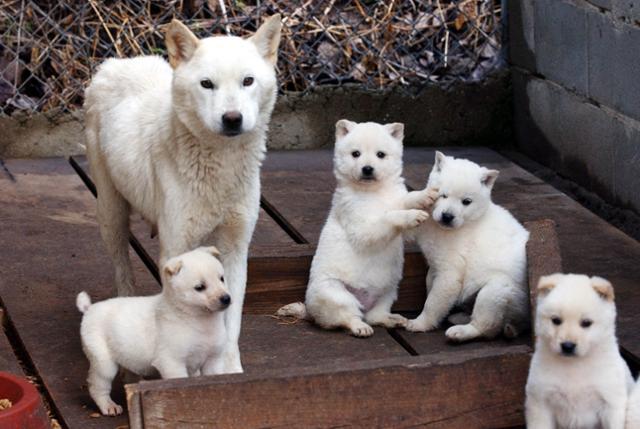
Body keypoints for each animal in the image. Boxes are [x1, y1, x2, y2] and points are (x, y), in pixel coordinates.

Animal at [76, 247, 230, 414]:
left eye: (222, 278)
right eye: (200, 287)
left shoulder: (213, 361)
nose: (226, 298)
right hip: (103, 363)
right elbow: (180, 385)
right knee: (97, 386)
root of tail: (89, 309)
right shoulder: (172, 363)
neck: (199, 321)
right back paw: (108, 406)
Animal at [83, 15, 282, 372]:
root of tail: (115, 62)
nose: (232, 119)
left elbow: (231, 323)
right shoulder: (175, 248)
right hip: (111, 213)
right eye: (207, 84)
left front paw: (229, 371)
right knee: (121, 267)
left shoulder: (235, 250)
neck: (221, 167)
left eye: (247, 81)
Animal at [278, 118, 438, 336]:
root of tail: (309, 311)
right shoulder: (357, 220)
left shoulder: (395, 197)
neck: (373, 191)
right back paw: (360, 327)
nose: (367, 169)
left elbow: (406, 200)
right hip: (334, 292)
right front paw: (413, 216)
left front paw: (426, 195)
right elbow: (383, 221)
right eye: (356, 153)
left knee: (376, 313)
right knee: (346, 316)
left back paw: (392, 319)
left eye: (381, 154)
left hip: (389, 288)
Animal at [404, 151, 528, 342]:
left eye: (466, 201)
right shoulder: (435, 260)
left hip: (499, 289)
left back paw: (461, 331)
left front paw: (420, 323)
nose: (447, 216)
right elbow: (430, 283)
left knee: (488, 324)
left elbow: (435, 298)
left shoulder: (452, 268)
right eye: (443, 195)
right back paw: (461, 317)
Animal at [524, 272, 636, 426]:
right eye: (556, 320)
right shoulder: (540, 403)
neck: (575, 365)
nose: (568, 346)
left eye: (586, 323)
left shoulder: (611, 403)